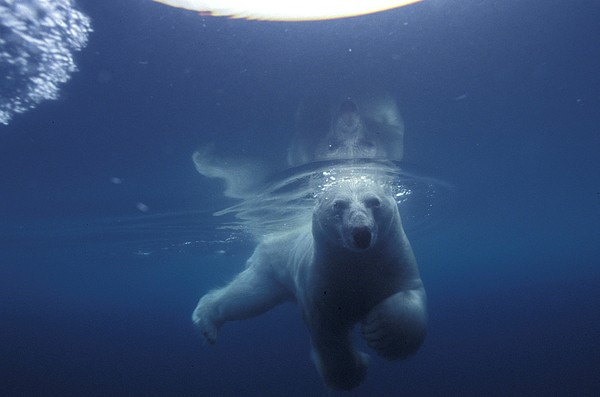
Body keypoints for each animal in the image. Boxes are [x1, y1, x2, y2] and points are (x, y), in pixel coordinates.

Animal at [193, 177, 426, 390]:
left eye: (374, 202)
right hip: (272, 266)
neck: (357, 263)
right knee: (247, 296)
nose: (361, 233)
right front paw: (357, 370)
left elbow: (410, 296)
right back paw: (206, 321)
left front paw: (382, 332)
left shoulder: (394, 262)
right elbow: (328, 335)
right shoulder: (322, 282)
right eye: (338, 204)